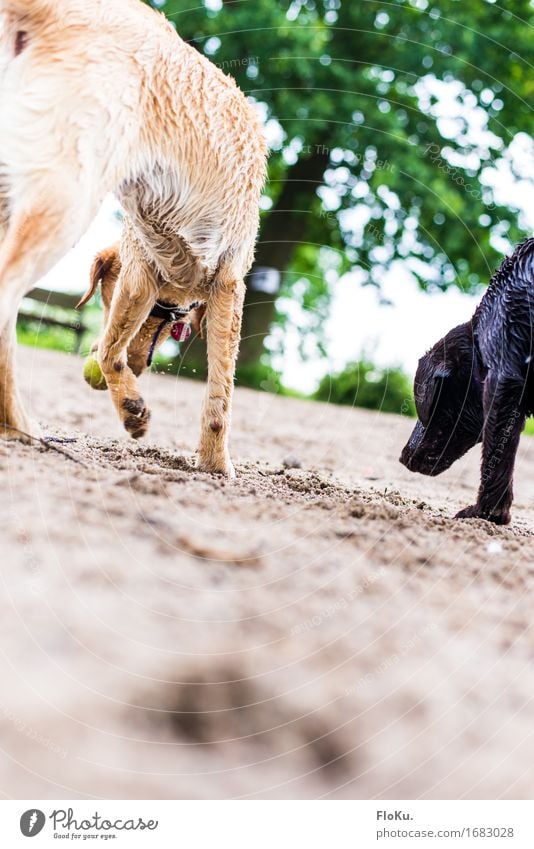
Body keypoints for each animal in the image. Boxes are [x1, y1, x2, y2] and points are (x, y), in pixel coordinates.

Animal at [0, 0, 268, 476]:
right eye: (168, 319)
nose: (141, 366)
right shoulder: (219, 281)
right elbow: (219, 393)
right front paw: (215, 464)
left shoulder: (142, 277)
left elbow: (113, 349)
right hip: (65, 191)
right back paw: (19, 425)